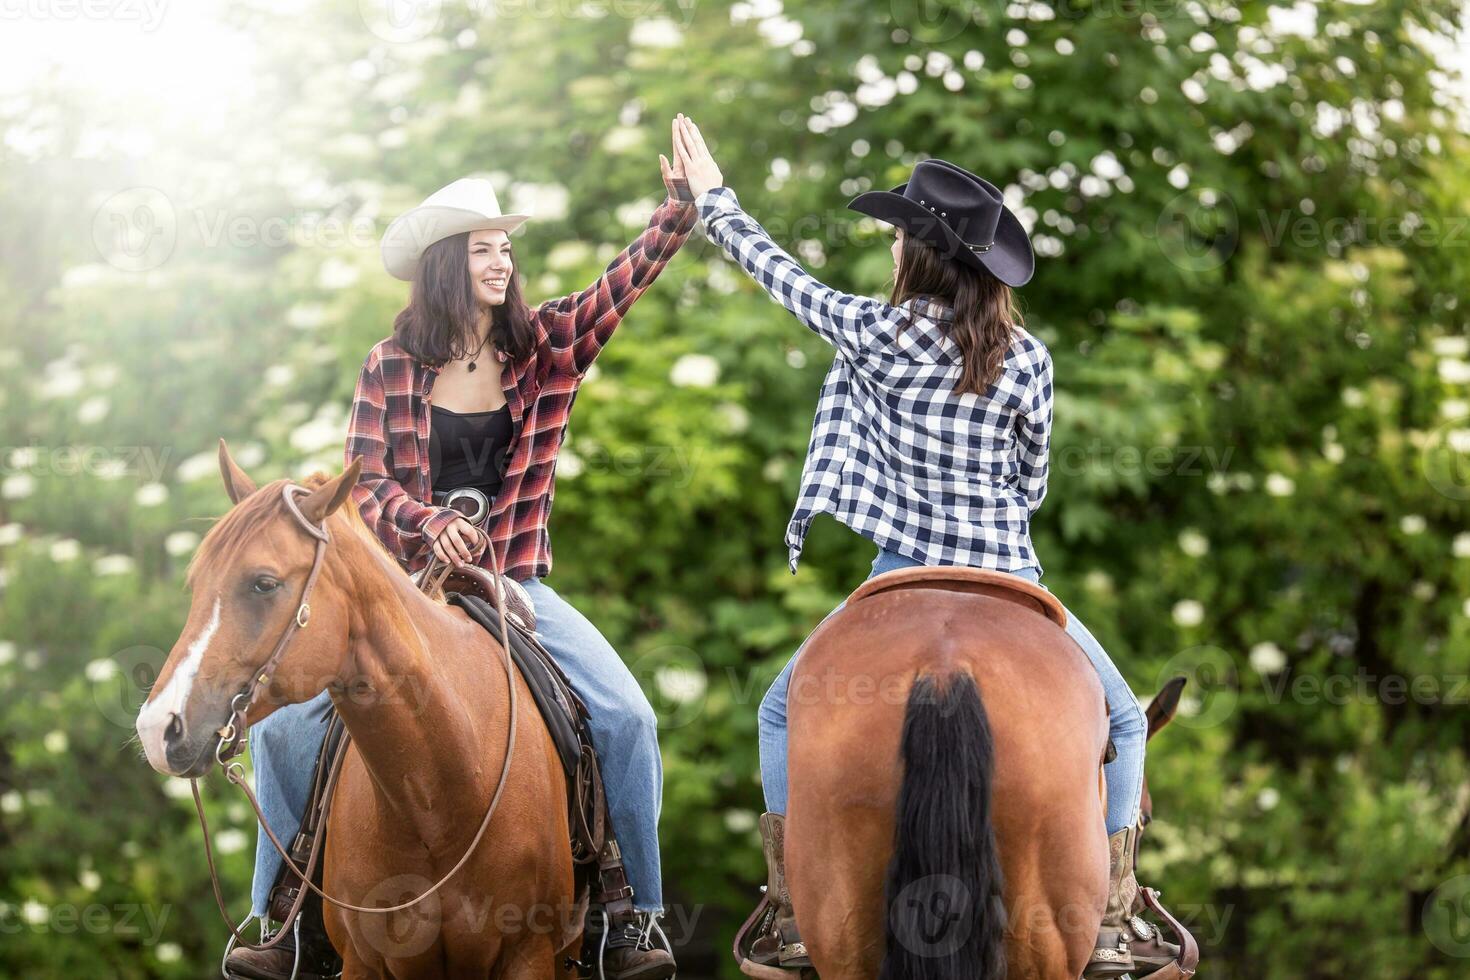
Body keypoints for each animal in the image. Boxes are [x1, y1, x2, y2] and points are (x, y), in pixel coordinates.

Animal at [135, 446, 576, 980]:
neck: (443, 792)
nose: (157, 727)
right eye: (197, 584)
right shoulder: (366, 960)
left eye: (264, 583)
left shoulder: (529, 955)